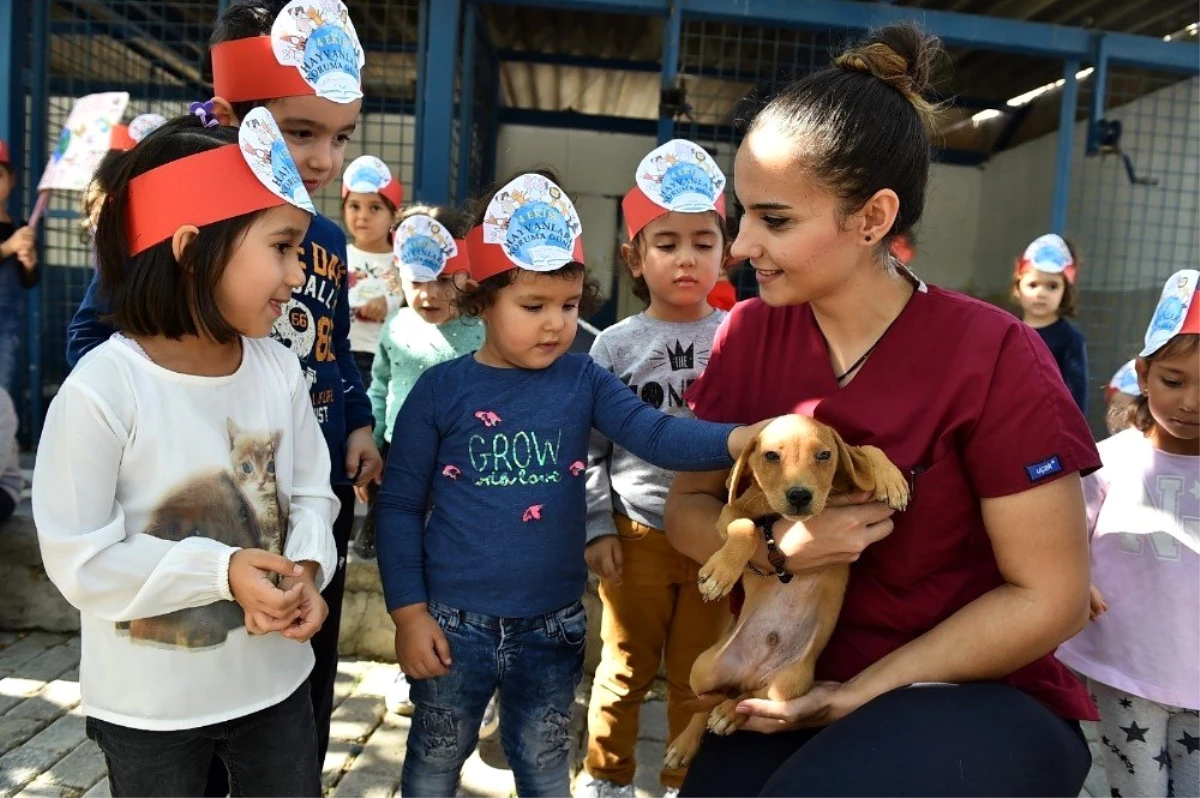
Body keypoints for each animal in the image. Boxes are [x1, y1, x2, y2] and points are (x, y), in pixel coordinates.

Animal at [662, 412, 902, 768]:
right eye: (771, 456)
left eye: (824, 455)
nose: (800, 496)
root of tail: (751, 672)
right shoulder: (730, 514)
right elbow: (747, 528)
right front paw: (721, 574)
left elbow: (862, 450)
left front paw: (891, 478)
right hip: (701, 669)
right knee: (706, 701)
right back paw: (687, 741)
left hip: (789, 685)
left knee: (748, 698)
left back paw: (730, 713)